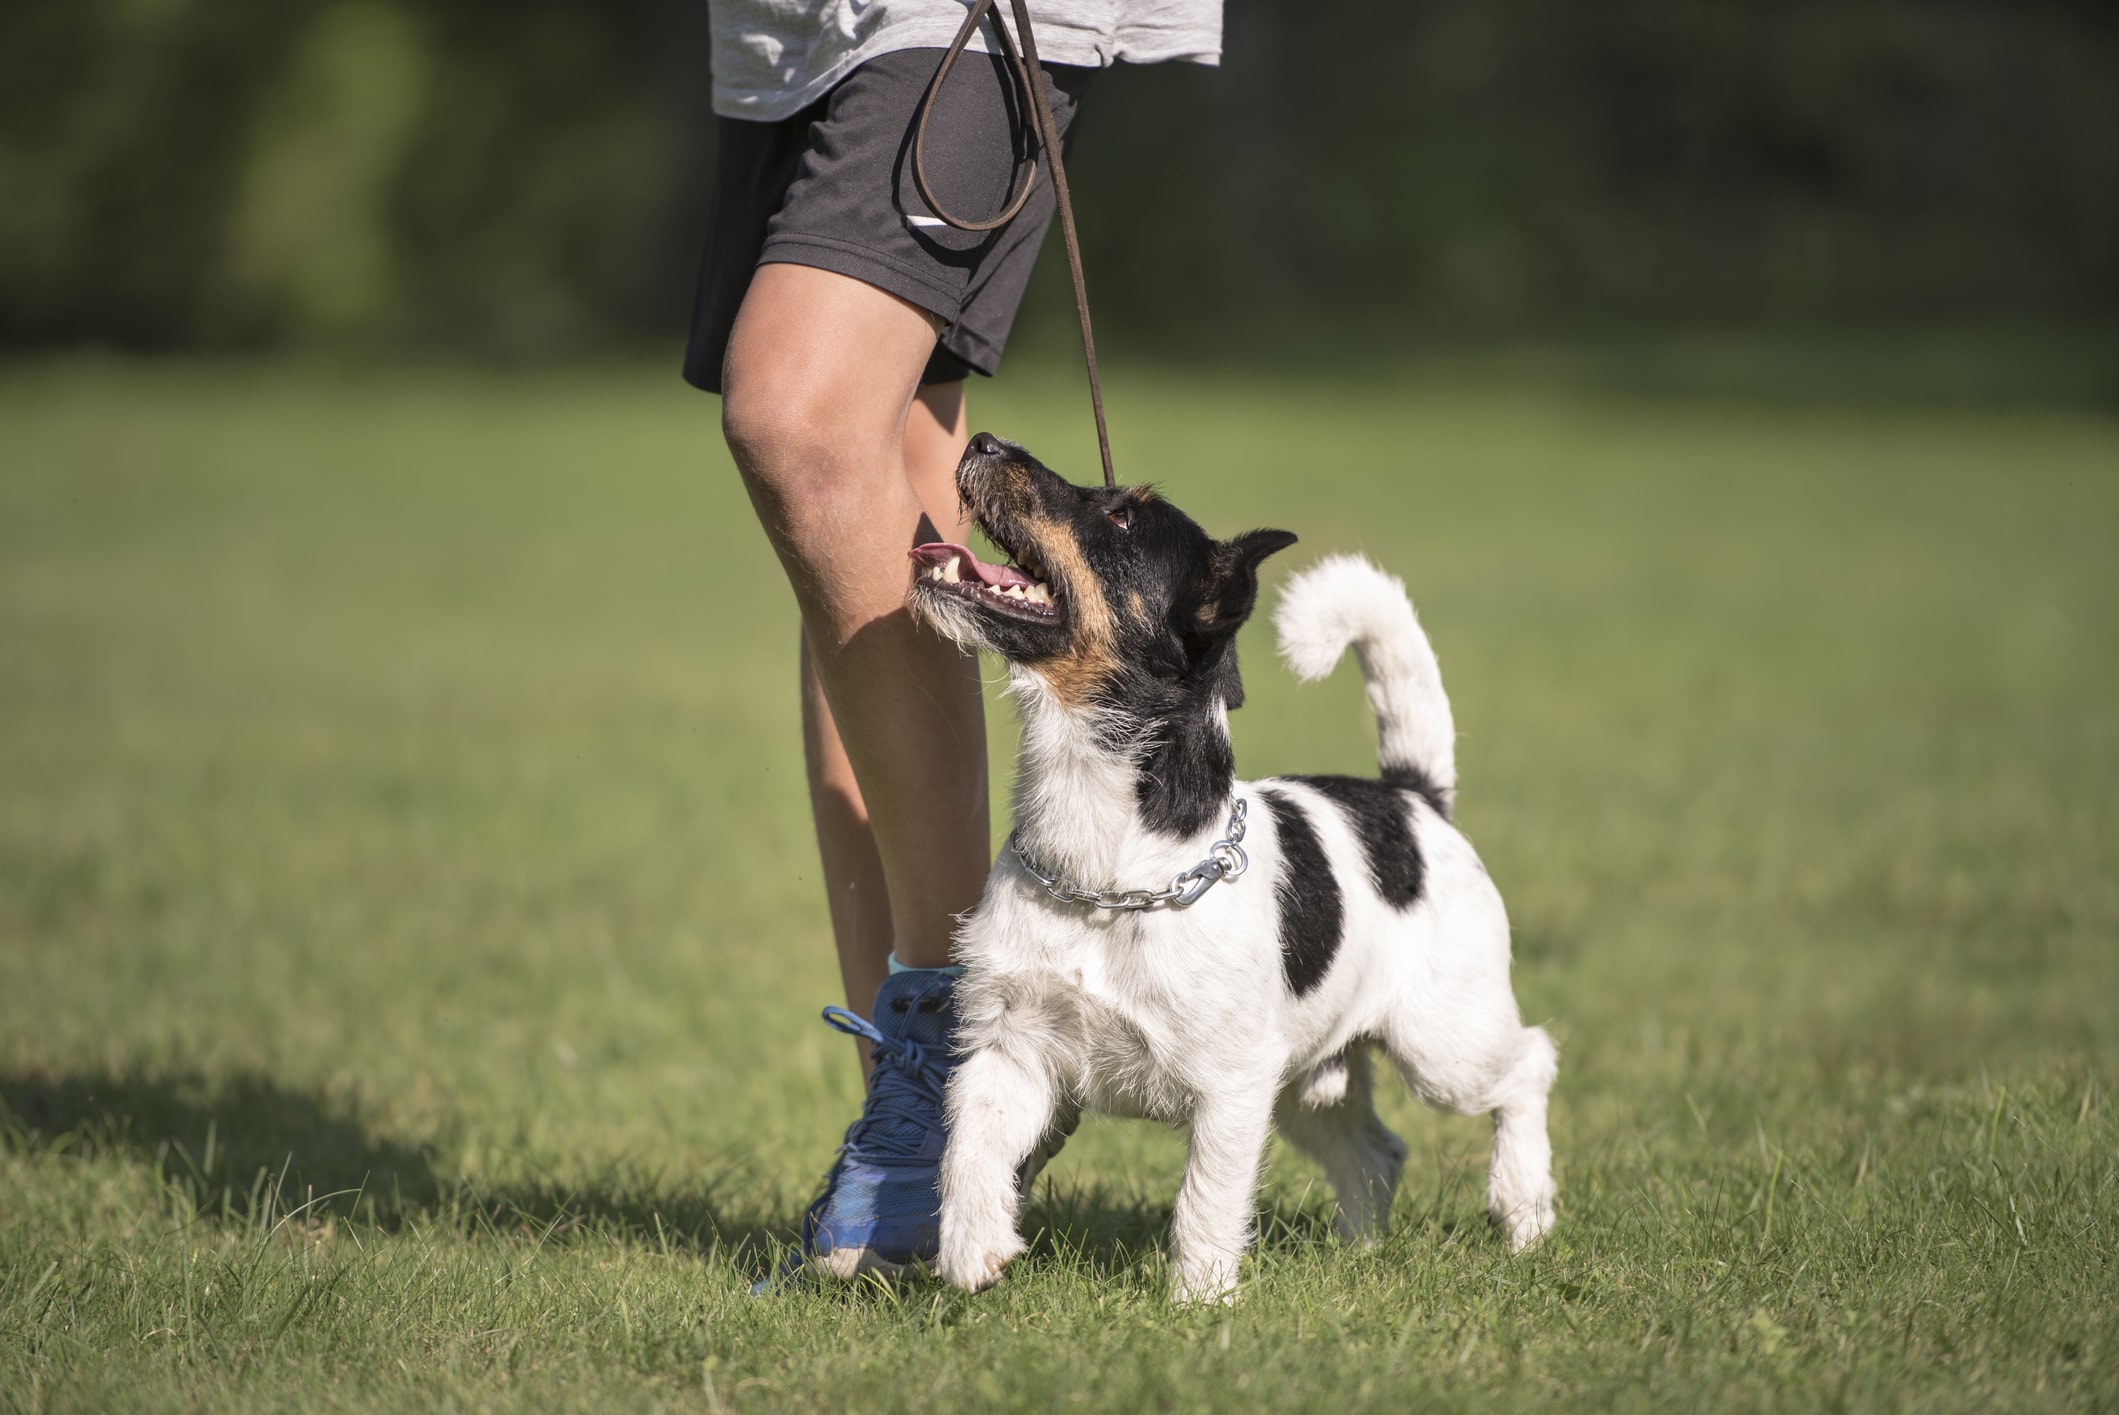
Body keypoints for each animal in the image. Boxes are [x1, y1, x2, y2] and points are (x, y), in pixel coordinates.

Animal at [911, 434, 1559, 1304]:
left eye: (1123, 517)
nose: (982, 441)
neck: (1105, 871)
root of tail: (1413, 796)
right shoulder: (1010, 1044)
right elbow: (968, 1145)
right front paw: (971, 1246)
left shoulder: (1230, 1086)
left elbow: (1206, 1201)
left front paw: (1198, 1305)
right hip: (1311, 1078)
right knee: (1376, 1150)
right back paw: (1358, 1253)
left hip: (1443, 1043)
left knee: (1528, 1065)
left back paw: (1523, 1211)